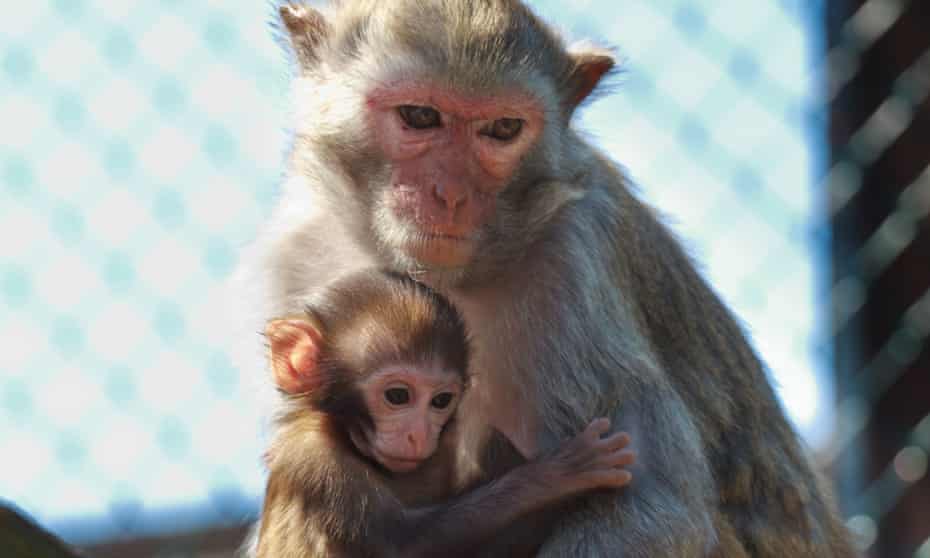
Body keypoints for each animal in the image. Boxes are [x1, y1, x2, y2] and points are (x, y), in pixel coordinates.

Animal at [254, 269, 637, 557]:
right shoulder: (314, 461)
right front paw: (557, 474)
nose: (419, 434)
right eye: (397, 395)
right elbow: (404, 545)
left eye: (440, 401)